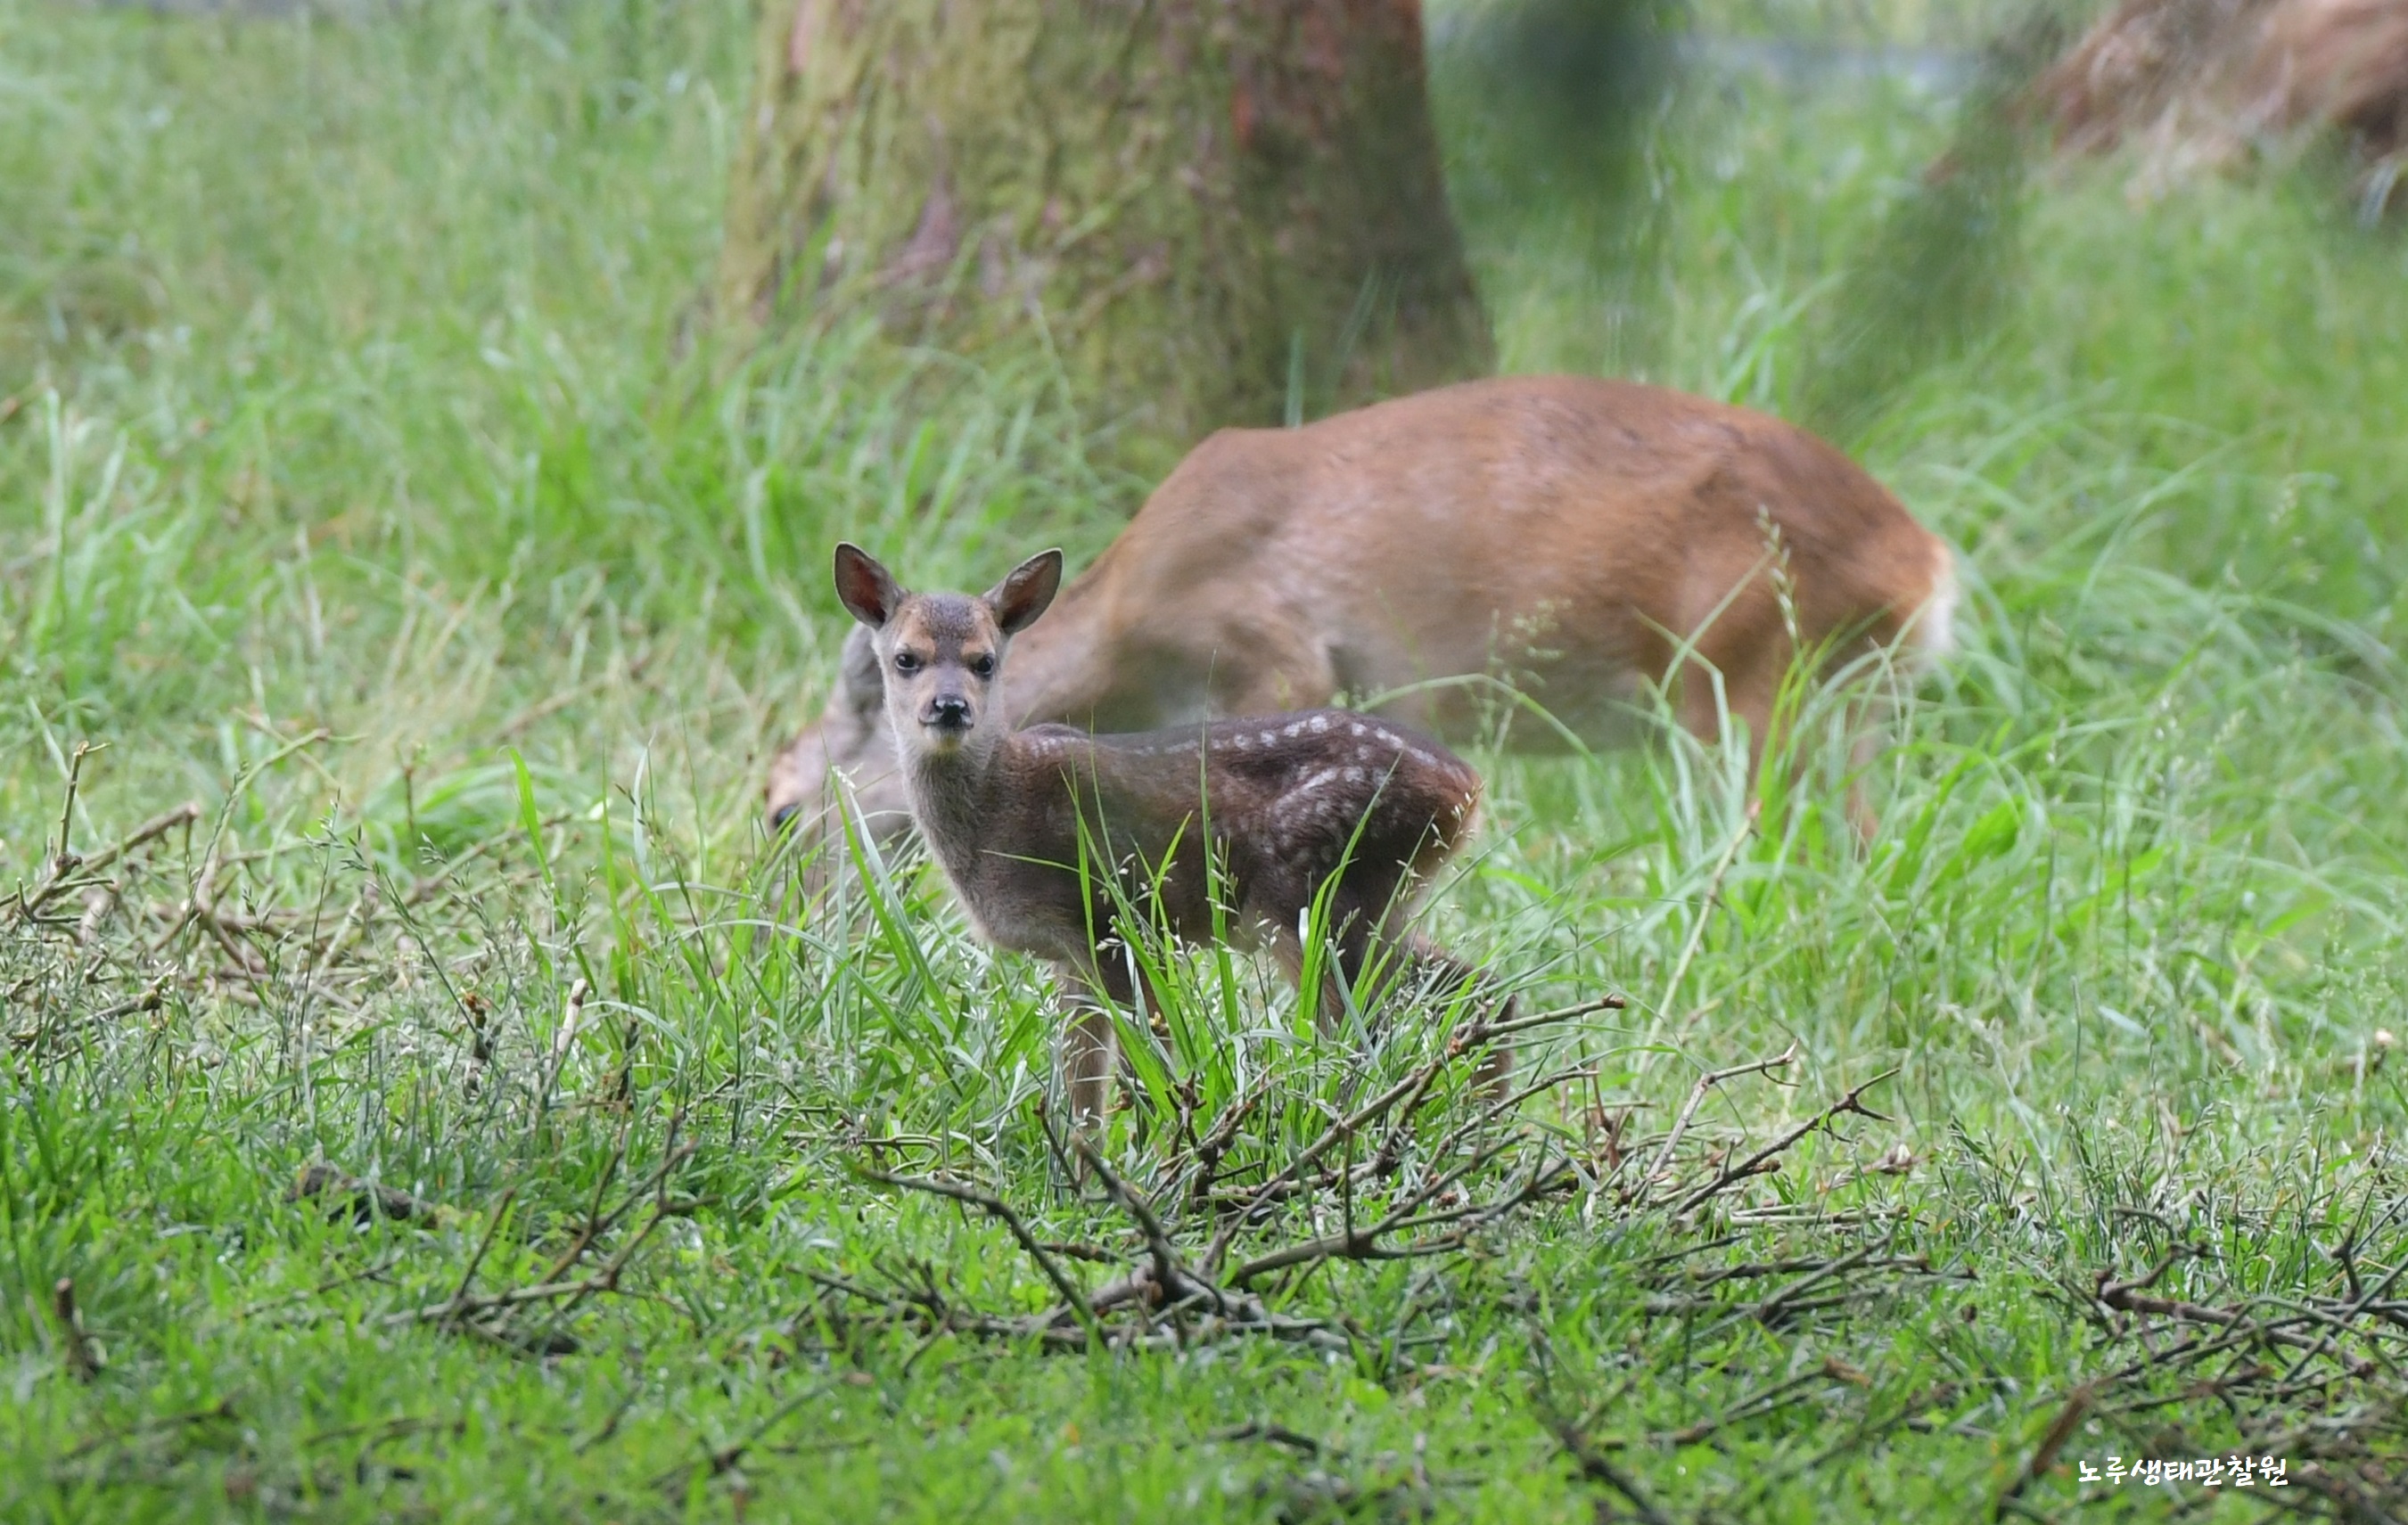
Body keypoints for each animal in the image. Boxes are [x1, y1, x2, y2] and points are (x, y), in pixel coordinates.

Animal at [775, 368, 1955, 843]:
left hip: (1736, 668)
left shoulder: (1277, 652)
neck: (1128, 635)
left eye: (780, 805)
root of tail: (1927, 565)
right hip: (1850, 696)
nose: (774, 931)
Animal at [837, 544, 1492, 1118]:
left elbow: (1143, 1069)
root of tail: (1467, 790)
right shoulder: (1072, 952)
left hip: (1312, 893)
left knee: (1366, 1031)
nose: (949, 707)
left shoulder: (1113, 925)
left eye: (985, 661)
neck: (999, 808)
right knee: (1471, 981)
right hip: (1376, 901)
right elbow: (1082, 1088)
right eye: (906, 658)